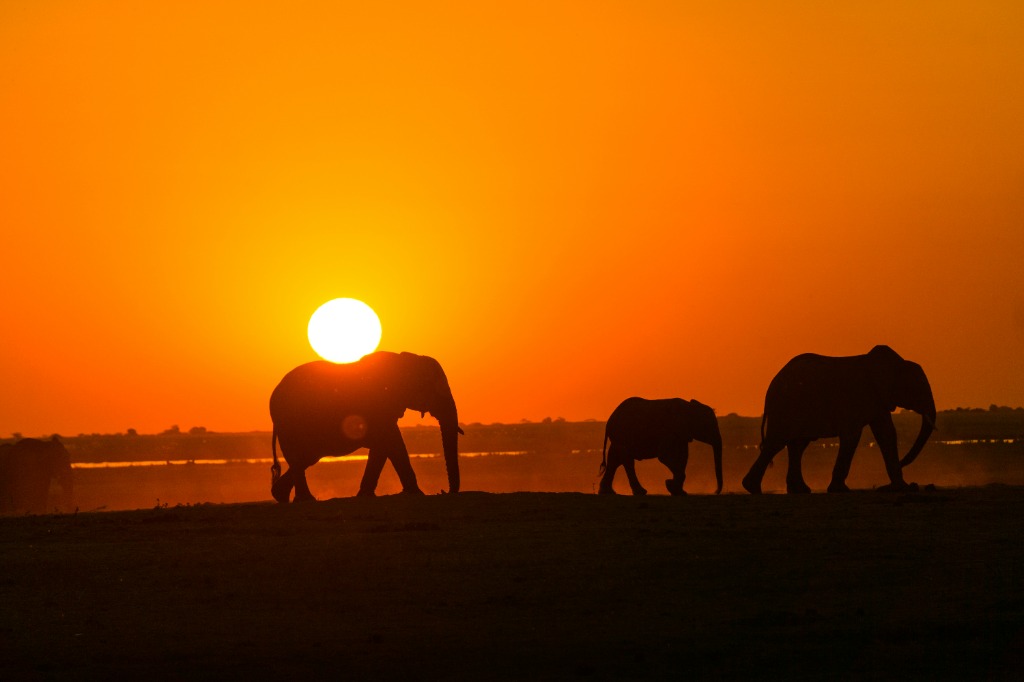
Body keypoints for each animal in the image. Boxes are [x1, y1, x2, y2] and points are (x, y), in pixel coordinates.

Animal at [269, 351, 462, 502]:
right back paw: (305, 500)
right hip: (289, 423)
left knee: (306, 458)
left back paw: (282, 496)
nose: (444, 491)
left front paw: (365, 495)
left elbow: (383, 447)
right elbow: (393, 442)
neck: (404, 360)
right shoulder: (376, 406)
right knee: (300, 458)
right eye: (435, 388)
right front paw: (417, 494)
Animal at [741, 345, 936, 495]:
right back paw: (753, 488)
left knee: (797, 445)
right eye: (918, 389)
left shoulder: (878, 400)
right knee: (777, 443)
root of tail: (770, 388)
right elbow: (852, 436)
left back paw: (799, 490)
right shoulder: (857, 397)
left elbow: (887, 434)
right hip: (785, 406)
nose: (903, 462)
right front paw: (840, 490)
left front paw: (904, 487)